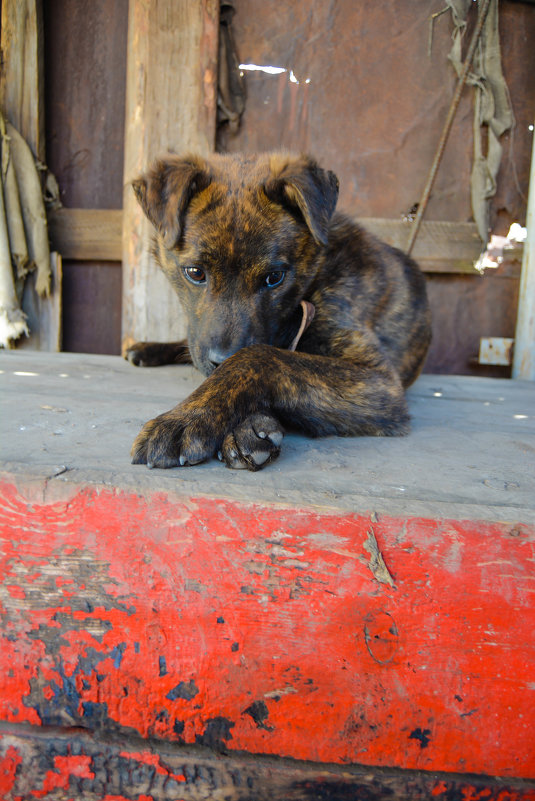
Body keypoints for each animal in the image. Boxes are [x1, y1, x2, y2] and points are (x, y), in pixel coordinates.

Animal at [124, 152, 432, 468]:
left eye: (274, 277)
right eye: (195, 273)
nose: (219, 361)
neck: (313, 283)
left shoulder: (379, 382)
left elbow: (262, 357)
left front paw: (188, 419)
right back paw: (148, 348)